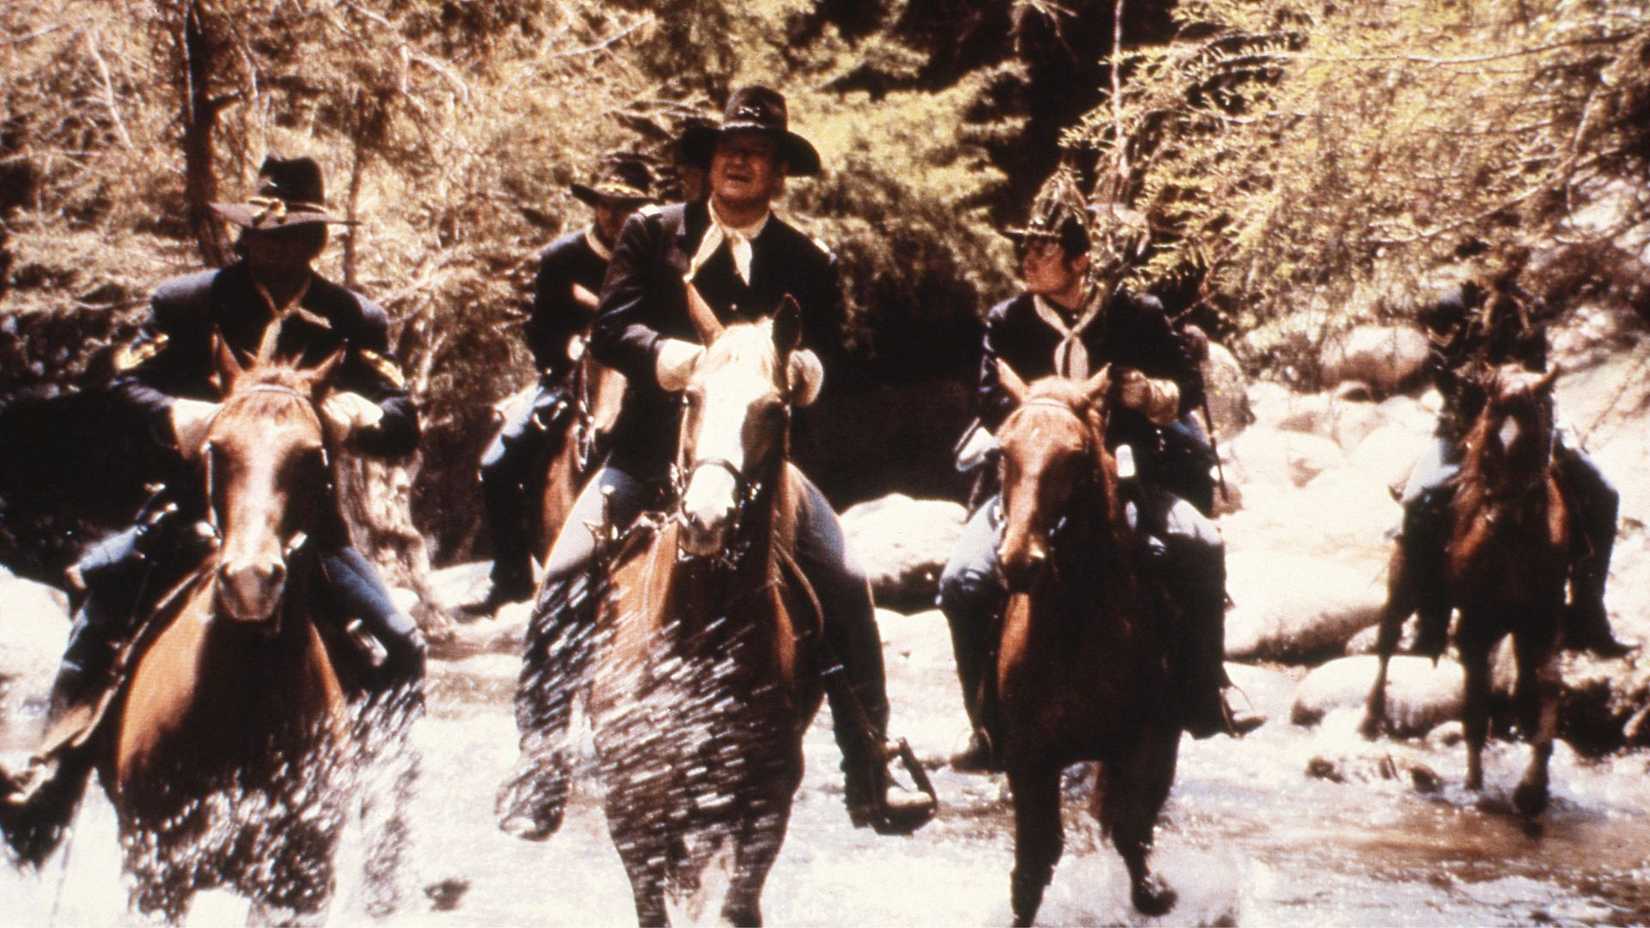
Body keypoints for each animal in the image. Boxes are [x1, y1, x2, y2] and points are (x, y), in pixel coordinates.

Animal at [583, 300, 825, 927]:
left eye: (774, 408)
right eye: (691, 397)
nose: (707, 519)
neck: (700, 638)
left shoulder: (766, 802)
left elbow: (740, 905)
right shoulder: (632, 805)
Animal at [990, 362, 1183, 927]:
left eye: (1075, 457)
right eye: (1003, 451)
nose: (1020, 561)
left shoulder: (1142, 742)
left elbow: (1131, 834)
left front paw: (1156, 894)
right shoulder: (1029, 756)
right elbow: (1033, 865)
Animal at [1362, 364, 1566, 817]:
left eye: (1534, 439)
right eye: (1488, 446)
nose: (1499, 522)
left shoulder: (1543, 621)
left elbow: (1546, 686)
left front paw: (1534, 787)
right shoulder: (1476, 624)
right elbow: (1474, 705)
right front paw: (1474, 786)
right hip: (1403, 586)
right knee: (1386, 642)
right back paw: (1370, 719)